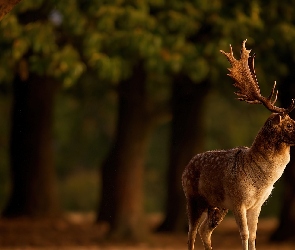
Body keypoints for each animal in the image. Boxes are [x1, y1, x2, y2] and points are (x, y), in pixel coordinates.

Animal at [182, 39, 295, 250]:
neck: (261, 182)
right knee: (191, 233)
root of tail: (186, 167)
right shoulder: (238, 200)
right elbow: (244, 234)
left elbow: (253, 235)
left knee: (205, 231)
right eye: (290, 124)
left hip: (217, 206)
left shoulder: (257, 205)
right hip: (193, 198)